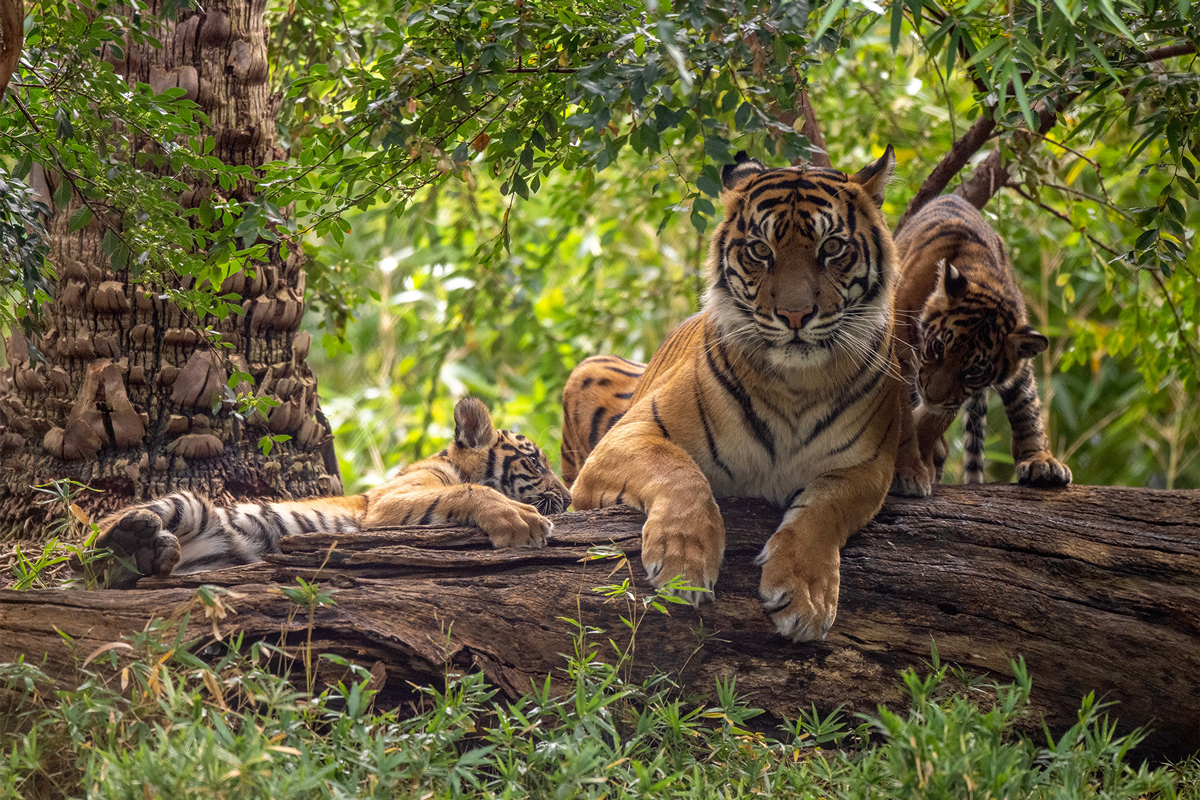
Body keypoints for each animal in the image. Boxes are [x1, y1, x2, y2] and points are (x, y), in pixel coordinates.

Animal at [88, 398, 566, 587]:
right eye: (536, 463)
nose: (568, 496)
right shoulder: (386, 504)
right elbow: (470, 493)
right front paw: (521, 522)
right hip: (185, 502)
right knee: (92, 545)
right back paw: (134, 539)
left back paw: (155, 555)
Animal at [566, 145, 912, 642]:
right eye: (759, 250)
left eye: (831, 247)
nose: (794, 315)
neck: (796, 385)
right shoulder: (630, 435)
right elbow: (679, 471)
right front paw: (681, 562)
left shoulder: (866, 467)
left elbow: (823, 512)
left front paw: (805, 596)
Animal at [892, 195, 1070, 489]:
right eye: (938, 347)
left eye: (974, 370)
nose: (932, 396)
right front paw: (907, 472)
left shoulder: (956, 393)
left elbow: (932, 422)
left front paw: (918, 466)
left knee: (1026, 406)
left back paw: (1042, 463)